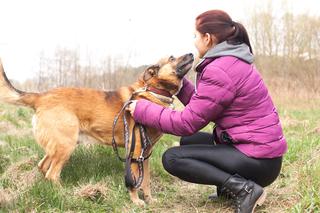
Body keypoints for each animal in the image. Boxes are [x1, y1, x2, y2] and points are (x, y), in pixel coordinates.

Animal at [0, 53, 195, 206]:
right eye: (172, 58)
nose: (192, 53)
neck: (153, 91)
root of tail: (41, 96)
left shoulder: (144, 155)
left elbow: (145, 181)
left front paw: (149, 199)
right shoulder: (135, 152)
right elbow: (133, 181)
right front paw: (135, 201)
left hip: (58, 146)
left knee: (43, 167)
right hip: (65, 146)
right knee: (52, 174)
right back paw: (66, 195)